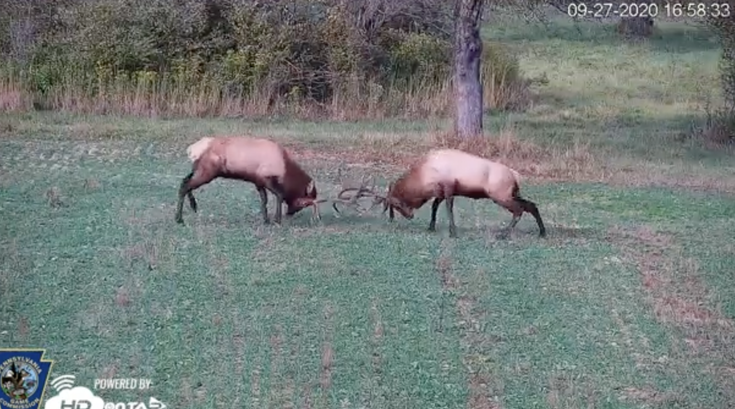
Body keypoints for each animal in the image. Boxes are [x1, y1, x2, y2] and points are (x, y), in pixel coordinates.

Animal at [174, 137, 356, 226]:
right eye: (305, 202)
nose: (290, 213)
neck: (285, 169)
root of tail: (192, 149)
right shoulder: (267, 178)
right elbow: (279, 195)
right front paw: (276, 220)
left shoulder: (258, 181)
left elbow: (264, 200)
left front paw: (266, 220)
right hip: (208, 171)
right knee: (185, 185)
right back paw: (179, 218)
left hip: (198, 169)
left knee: (184, 180)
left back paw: (193, 206)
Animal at [340, 147, 548, 237]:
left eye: (396, 205)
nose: (410, 215)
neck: (424, 177)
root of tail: (515, 175)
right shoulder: (440, 192)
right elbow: (434, 207)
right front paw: (431, 226)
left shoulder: (448, 188)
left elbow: (448, 208)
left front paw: (453, 231)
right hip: (511, 193)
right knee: (531, 205)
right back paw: (542, 232)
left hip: (500, 195)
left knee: (520, 210)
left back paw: (504, 233)